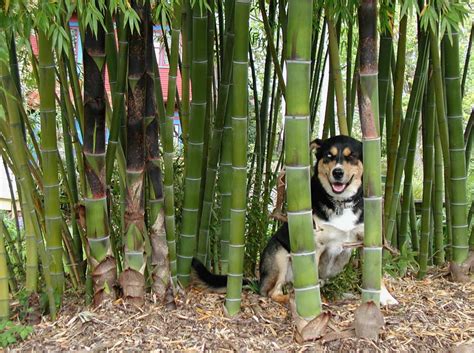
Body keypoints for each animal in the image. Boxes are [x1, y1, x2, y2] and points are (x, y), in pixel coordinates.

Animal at [191, 135, 398, 306]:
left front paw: (385, 297)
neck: (340, 203)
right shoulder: (314, 244)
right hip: (279, 256)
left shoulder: (367, 241)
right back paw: (290, 297)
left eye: (351, 156)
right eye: (328, 156)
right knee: (270, 292)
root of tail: (261, 278)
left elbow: (376, 273)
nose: (337, 173)